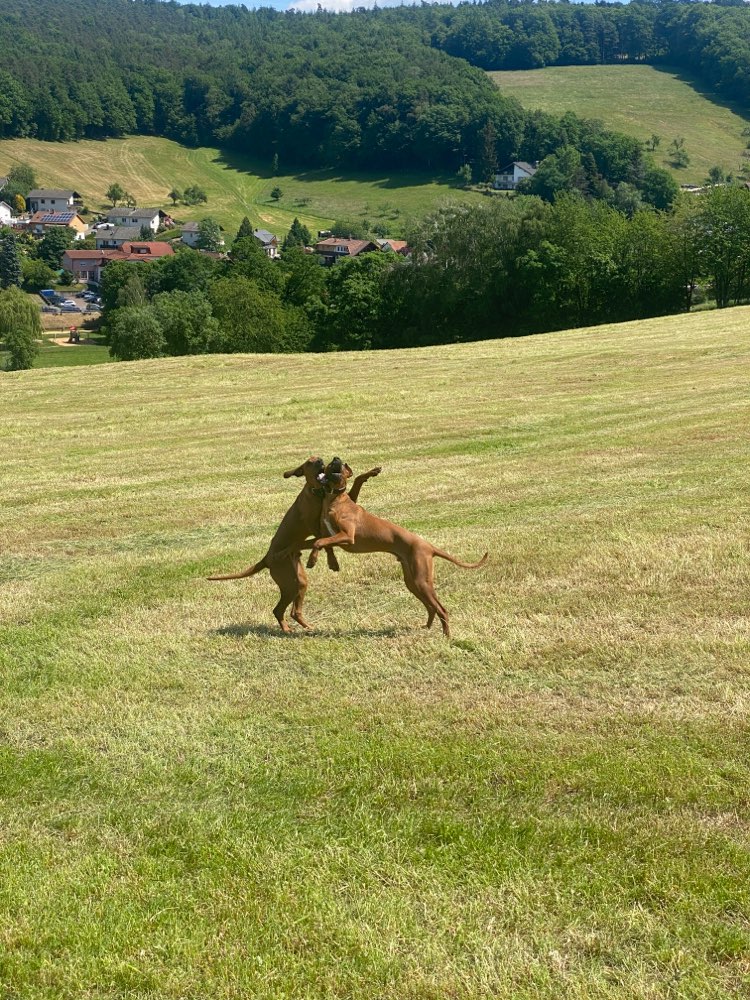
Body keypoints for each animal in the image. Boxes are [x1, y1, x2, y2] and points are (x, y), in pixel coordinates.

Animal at [209, 456, 382, 632]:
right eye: (309, 462)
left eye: (319, 458)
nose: (321, 461)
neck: (318, 493)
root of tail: (267, 558)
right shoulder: (317, 527)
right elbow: (325, 544)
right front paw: (331, 561)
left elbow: (356, 483)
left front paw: (371, 472)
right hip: (288, 584)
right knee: (278, 609)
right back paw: (288, 629)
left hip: (299, 581)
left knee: (292, 611)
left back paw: (305, 626)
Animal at [304, 458, 488, 636]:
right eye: (332, 463)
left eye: (341, 465)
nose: (336, 458)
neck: (335, 499)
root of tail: (428, 546)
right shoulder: (329, 533)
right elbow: (323, 543)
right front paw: (329, 562)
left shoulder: (348, 536)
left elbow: (319, 542)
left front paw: (312, 561)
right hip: (412, 582)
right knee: (431, 607)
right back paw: (427, 627)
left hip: (421, 580)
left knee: (441, 609)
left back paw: (447, 636)